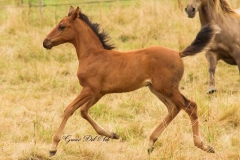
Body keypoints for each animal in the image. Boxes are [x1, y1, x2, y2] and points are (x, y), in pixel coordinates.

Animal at [42, 6, 219, 156]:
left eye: (62, 26)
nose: (45, 42)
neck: (93, 56)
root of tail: (178, 53)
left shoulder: (89, 89)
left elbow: (69, 109)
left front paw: (53, 147)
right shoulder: (98, 93)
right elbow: (83, 111)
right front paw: (112, 134)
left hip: (167, 88)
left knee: (190, 106)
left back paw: (203, 145)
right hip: (156, 89)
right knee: (174, 108)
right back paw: (151, 143)